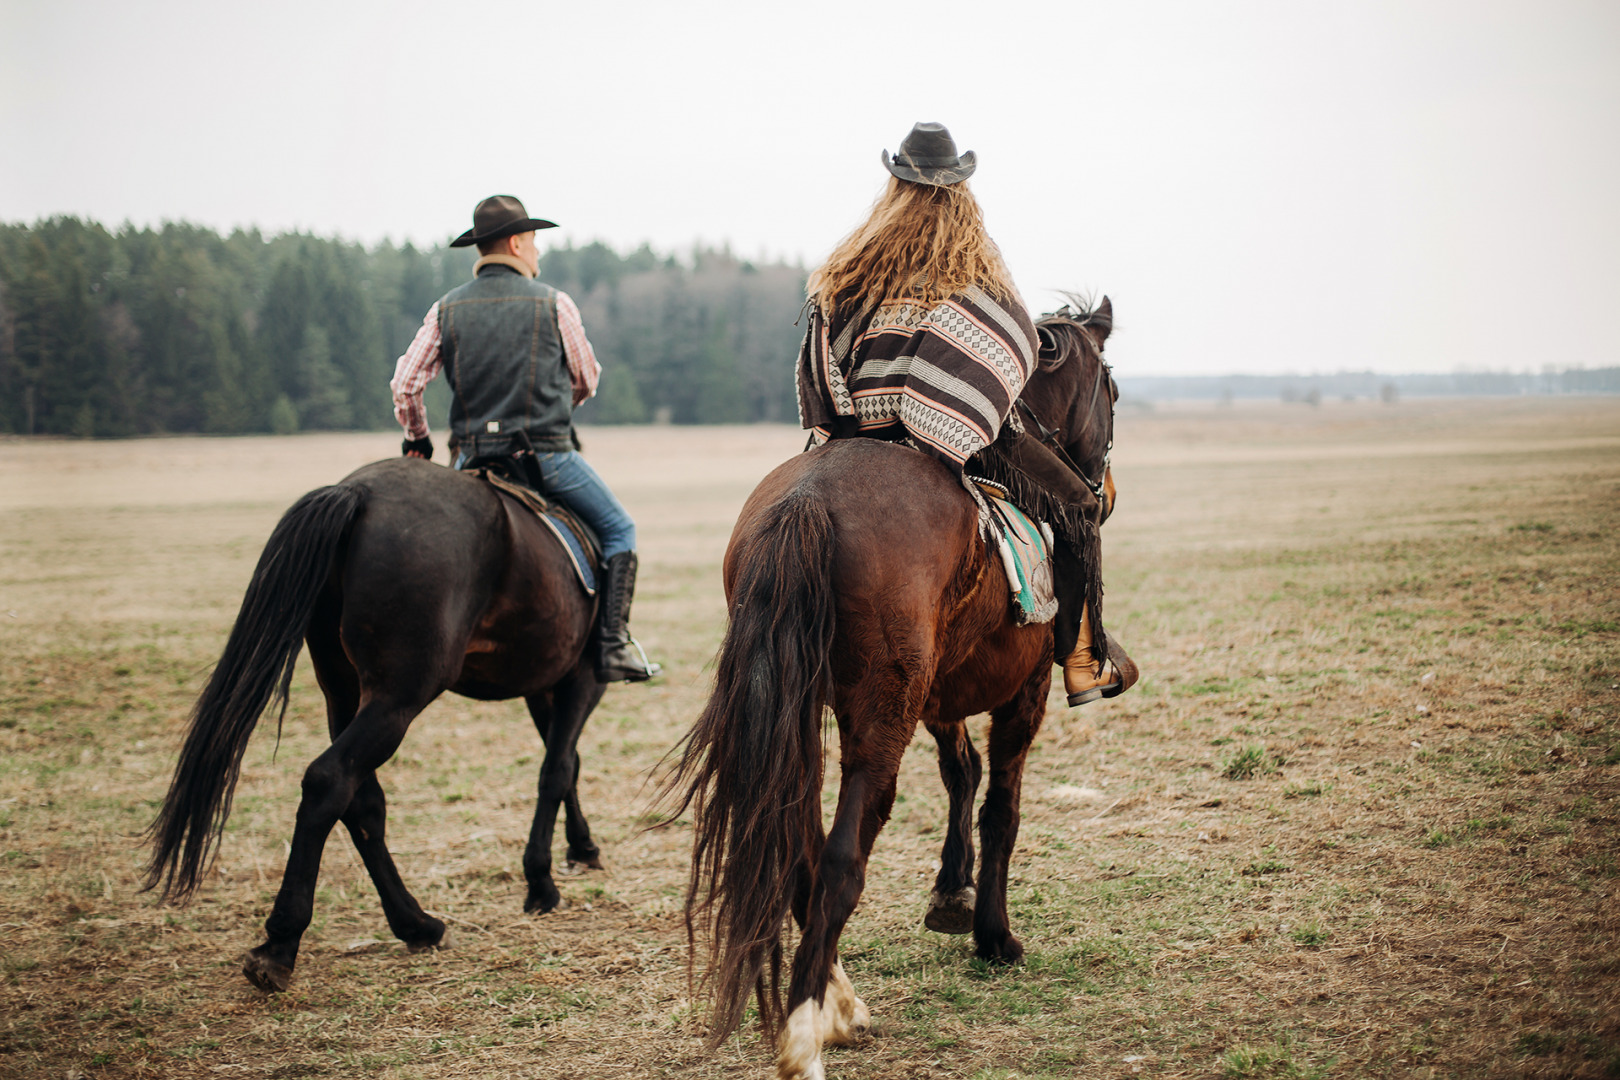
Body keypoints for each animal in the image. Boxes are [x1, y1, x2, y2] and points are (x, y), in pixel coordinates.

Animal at [145, 459, 609, 990]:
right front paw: (541, 883)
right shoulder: (583, 677)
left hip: (343, 689)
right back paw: (281, 944)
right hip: (398, 697)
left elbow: (565, 761)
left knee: (360, 799)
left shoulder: (543, 684)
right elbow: (558, 768)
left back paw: (416, 924)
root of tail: (357, 492)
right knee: (329, 780)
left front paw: (581, 847)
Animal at [664, 297, 1121, 1080]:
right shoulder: (1022, 692)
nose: (1101, 492)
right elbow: (1001, 806)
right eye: (1112, 390)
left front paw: (951, 893)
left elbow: (962, 772)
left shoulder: (938, 696)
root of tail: (806, 502)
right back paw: (806, 1037)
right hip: (880, 719)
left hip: (803, 715)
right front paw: (994, 935)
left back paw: (839, 1005)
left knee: (800, 850)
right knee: (843, 857)